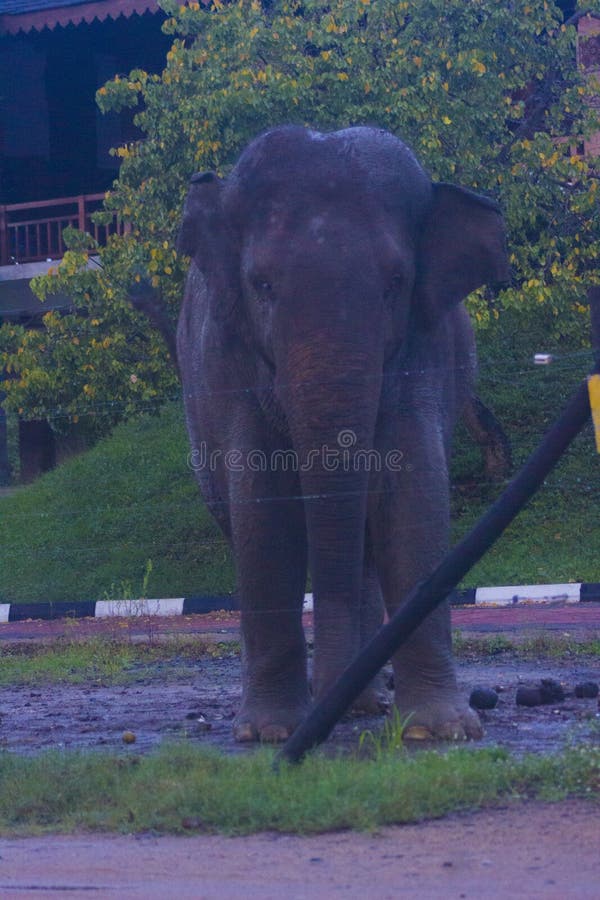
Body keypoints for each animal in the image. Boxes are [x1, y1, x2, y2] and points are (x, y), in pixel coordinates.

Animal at [176, 126, 508, 744]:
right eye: (262, 284)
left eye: (397, 282)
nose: (329, 701)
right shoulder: (227, 357)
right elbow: (262, 507)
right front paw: (270, 733)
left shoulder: (425, 348)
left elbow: (413, 493)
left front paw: (439, 731)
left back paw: (367, 702)